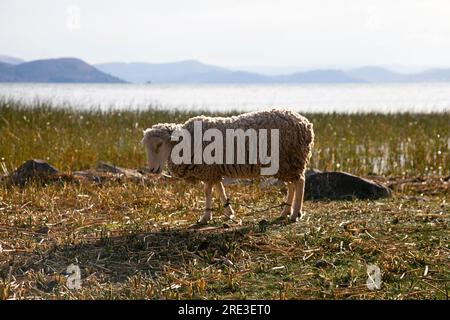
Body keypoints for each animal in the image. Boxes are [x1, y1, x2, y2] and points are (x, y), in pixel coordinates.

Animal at [142, 109, 314, 224]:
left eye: (159, 144)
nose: (152, 170)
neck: (185, 142)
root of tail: (306, 124)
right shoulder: (213, 169)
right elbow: (219, 189)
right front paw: (228, 212)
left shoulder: (207, 169)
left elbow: (207, 191)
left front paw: (205, 217)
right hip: (286, 164)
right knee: (292, 185)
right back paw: (286, 211)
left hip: (291, 159)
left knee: (300, 183)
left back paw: (295, 214)